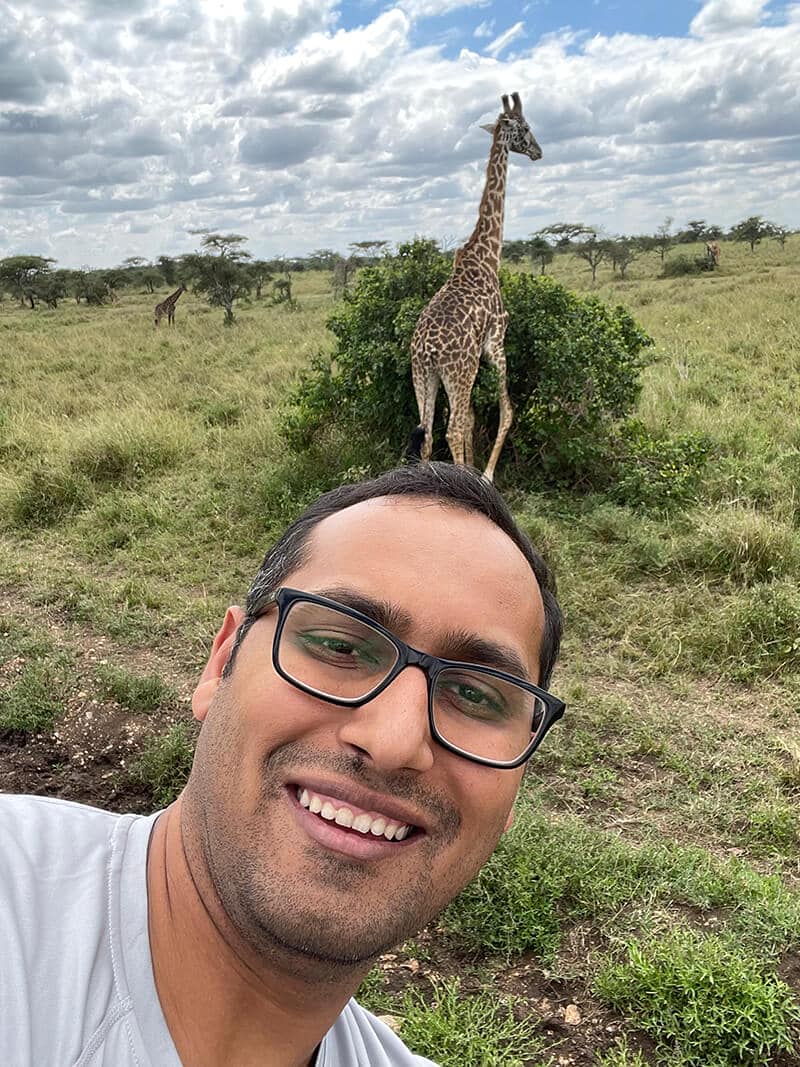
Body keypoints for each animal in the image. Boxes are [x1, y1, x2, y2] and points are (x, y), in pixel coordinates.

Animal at [410, 92, 541, 482]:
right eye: (525, 128)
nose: (539, 151)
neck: (486, 256)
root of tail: (427, 349)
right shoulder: (495, 341)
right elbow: (507, 411)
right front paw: (484, 475)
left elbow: (471, 419)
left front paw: (470, 472)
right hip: (458, 371)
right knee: (451, 428)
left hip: (424, 375)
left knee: (428, 431)